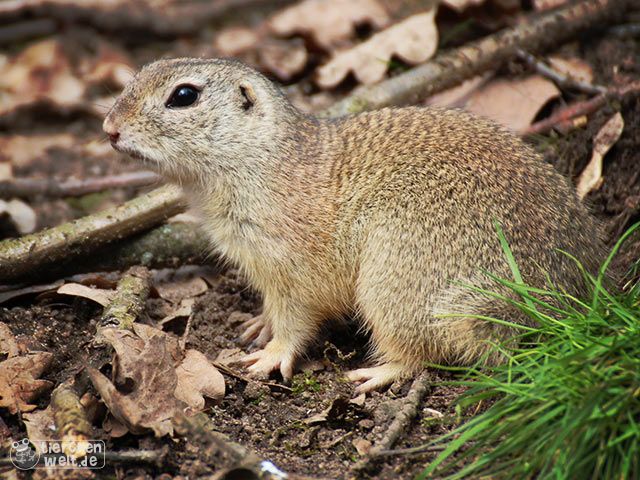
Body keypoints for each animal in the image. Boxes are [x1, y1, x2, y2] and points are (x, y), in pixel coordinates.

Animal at [104, 58, 604, 392]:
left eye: (183, 96)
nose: (109, 128)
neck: (260, 158)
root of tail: (563, 308)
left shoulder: (292, 266)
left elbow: (297, 318)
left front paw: (270, 356)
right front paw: (257, 325)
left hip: (398, 281)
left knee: (420, 353)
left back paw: (376, 372)